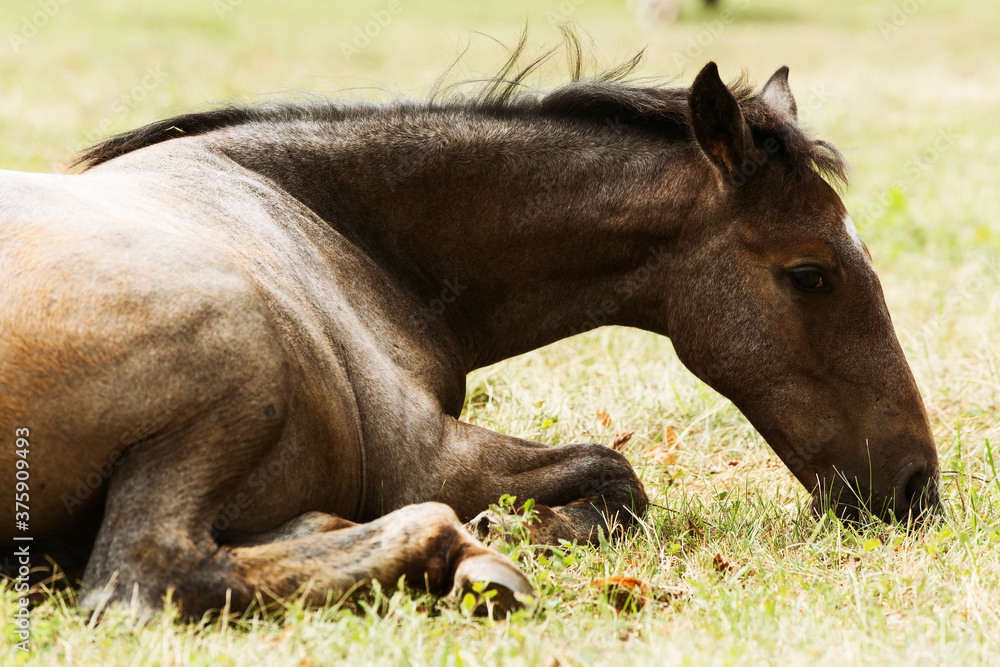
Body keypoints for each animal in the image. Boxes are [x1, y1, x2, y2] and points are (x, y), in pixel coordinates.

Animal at [0, 53, 940, 618]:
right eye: (810, 273)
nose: (917, 487)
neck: (336, 223)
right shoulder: (424, 453)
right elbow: (616, 475)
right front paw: (519, 527)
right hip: (237, 365)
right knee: (141, 574)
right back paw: (466, 556)